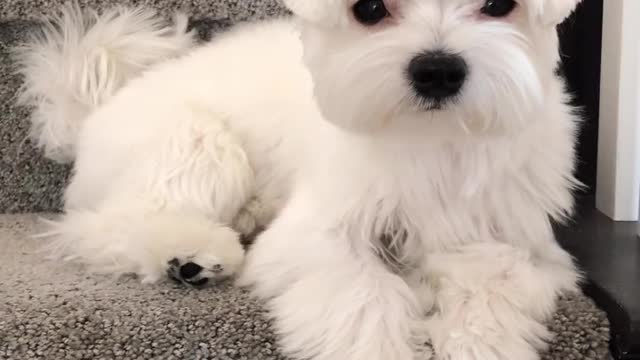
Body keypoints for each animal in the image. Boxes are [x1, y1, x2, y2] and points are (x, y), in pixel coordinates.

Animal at [15, 1, 584, 358]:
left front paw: (479, 341)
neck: (433, 138)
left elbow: (492, 288)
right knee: (111, 223)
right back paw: (188, 253)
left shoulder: (506, 238)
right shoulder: (316, 236)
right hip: (195, 142)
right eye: (369, 10)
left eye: (499, 5)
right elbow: (362, 291)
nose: (438, 71)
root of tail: (92, 112)